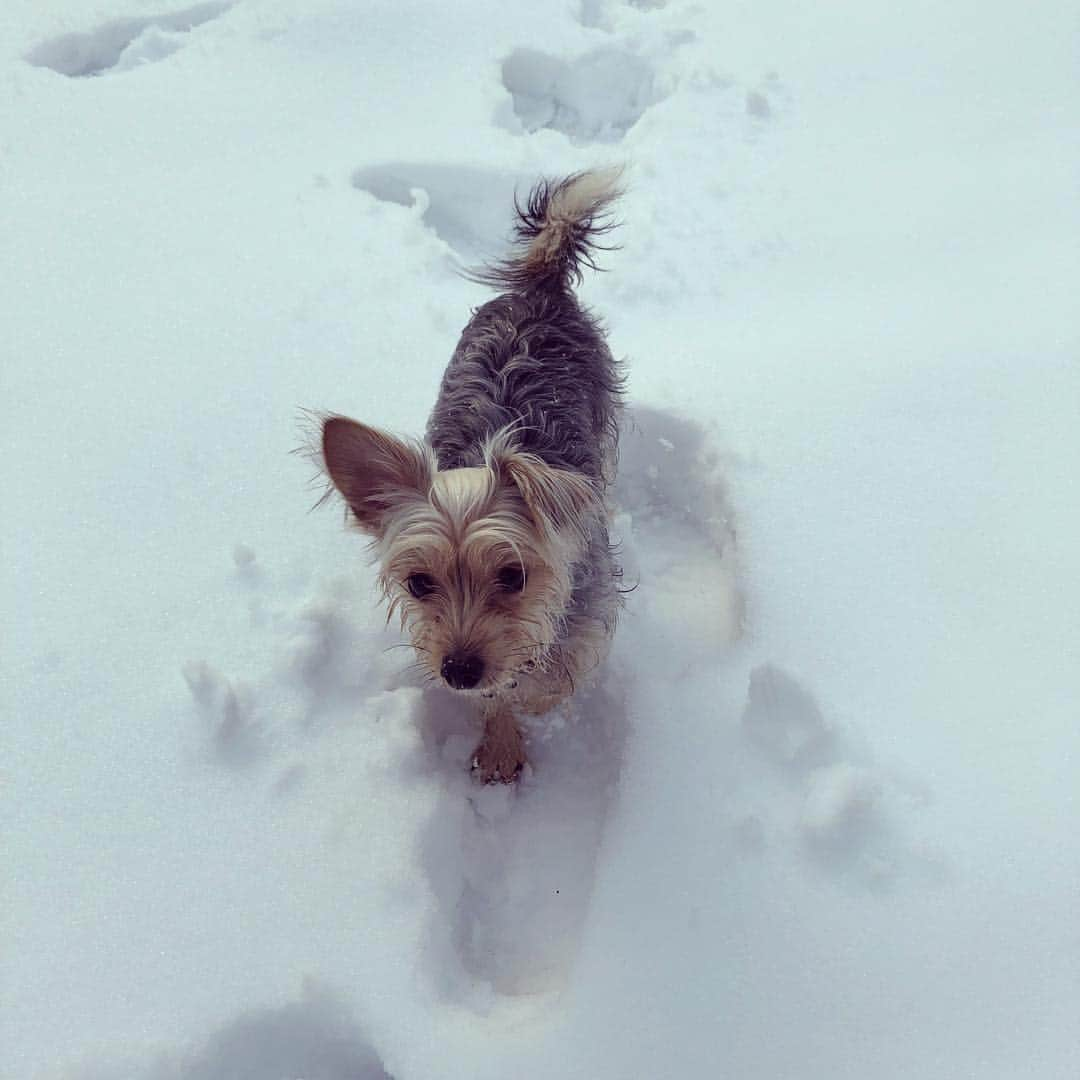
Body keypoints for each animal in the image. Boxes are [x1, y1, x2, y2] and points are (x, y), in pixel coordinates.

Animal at [319, 168, 626, 781]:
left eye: (513, 576)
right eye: (418, 583)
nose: (458, 670)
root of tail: (540, 290)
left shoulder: (586, 612)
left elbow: (556, 677)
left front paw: (534, 693)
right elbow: (500, 694)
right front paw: (502, 744)